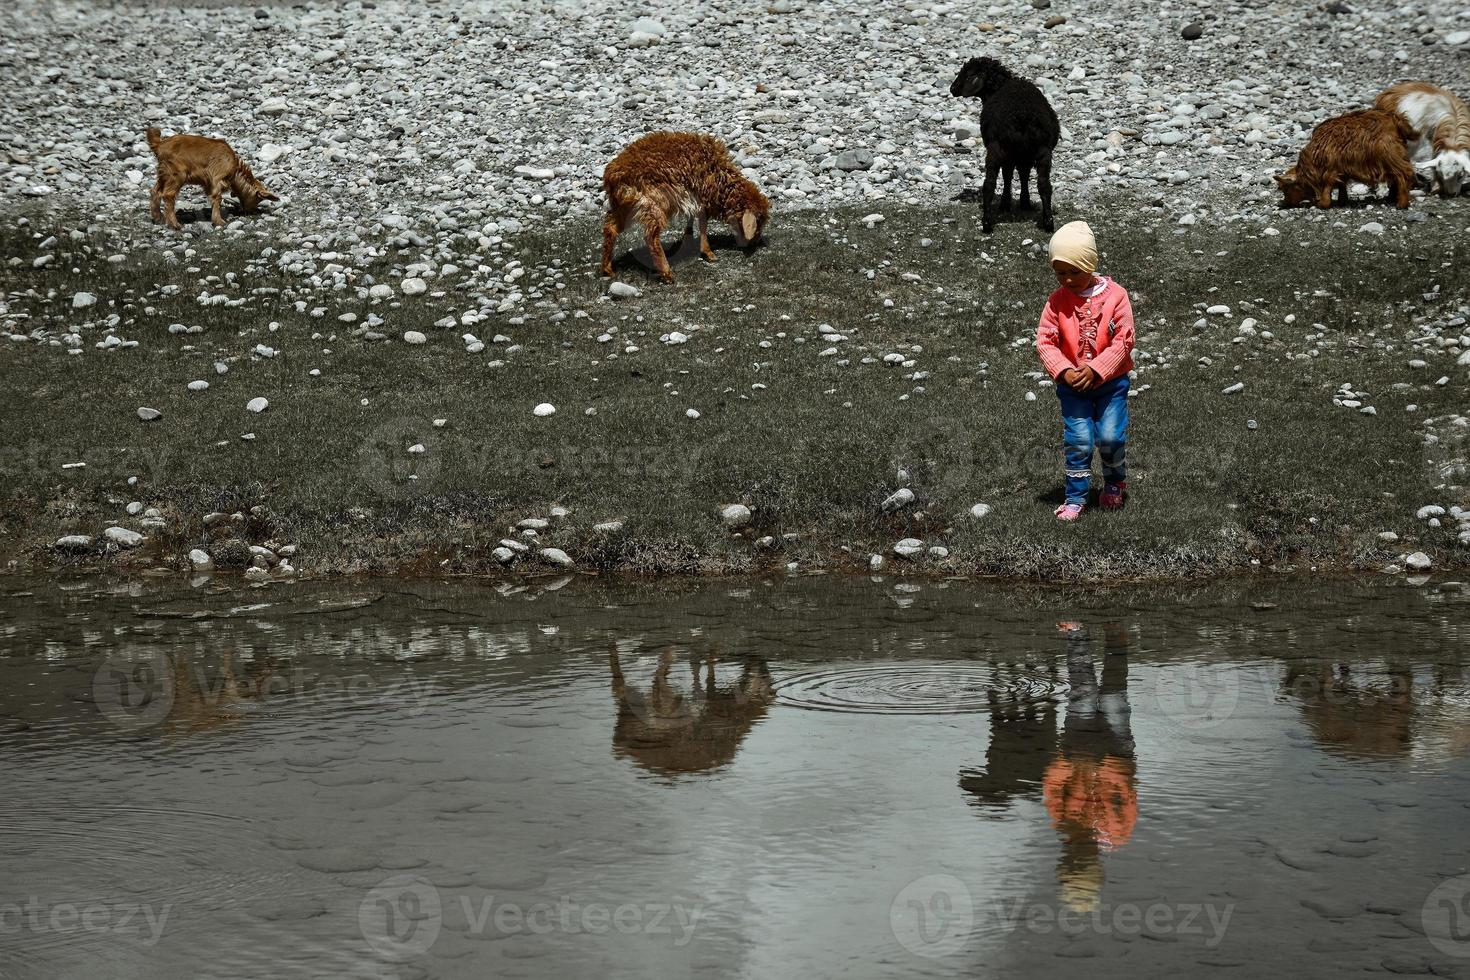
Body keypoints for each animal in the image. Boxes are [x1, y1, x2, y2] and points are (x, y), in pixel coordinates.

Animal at [146, 128, 277, 230]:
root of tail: (159, 145)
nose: (252, 211)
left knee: (155, 191)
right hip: (176, 174)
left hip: (163, 174)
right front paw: (219, 221)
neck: (235, 169)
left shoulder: (208, 183)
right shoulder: (217, 178)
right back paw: (175, 224)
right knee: (168, 195)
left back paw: (158, 218)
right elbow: (217, 198)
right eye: (258, 199)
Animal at [596, 131, 770, 283]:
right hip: (654, 202)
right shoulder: (701, 197)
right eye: (759, 222)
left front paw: (688, 241)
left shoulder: (691, 198)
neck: (722, 182)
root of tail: (613, 175)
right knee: (651, 236)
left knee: (610, 228)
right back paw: (667, 274)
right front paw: (708, 252)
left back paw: (607, 269)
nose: (755, 242)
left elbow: (691, 220)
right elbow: (703, 224)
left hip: (624, 205)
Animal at [952, 56, 1058, 235]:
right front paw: (1024, 202)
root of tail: (1022, 117)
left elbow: (1009, 176)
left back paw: (987, 223)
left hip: (997, 148)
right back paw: (1048, 222)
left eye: (968, 74)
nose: (952, 89)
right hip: (1043, 150)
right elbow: (1023, 175)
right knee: (1044, 185)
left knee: (989, 184)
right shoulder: (1023, 156)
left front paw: (1007, 203)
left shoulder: (1011, 155)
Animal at [1281, 108, 1417, 208]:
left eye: (1286, 189)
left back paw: (1401, 204)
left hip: (1390, 156)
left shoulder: (1331, 169)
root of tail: (1396, 120)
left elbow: (1328, 186)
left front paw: (1323, 204)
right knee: (1397, 178)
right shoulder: (1341, 169)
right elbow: (1342, 186)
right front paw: (1342, 201)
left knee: (1404, 174)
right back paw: (1391, 198)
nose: (1285, 204)